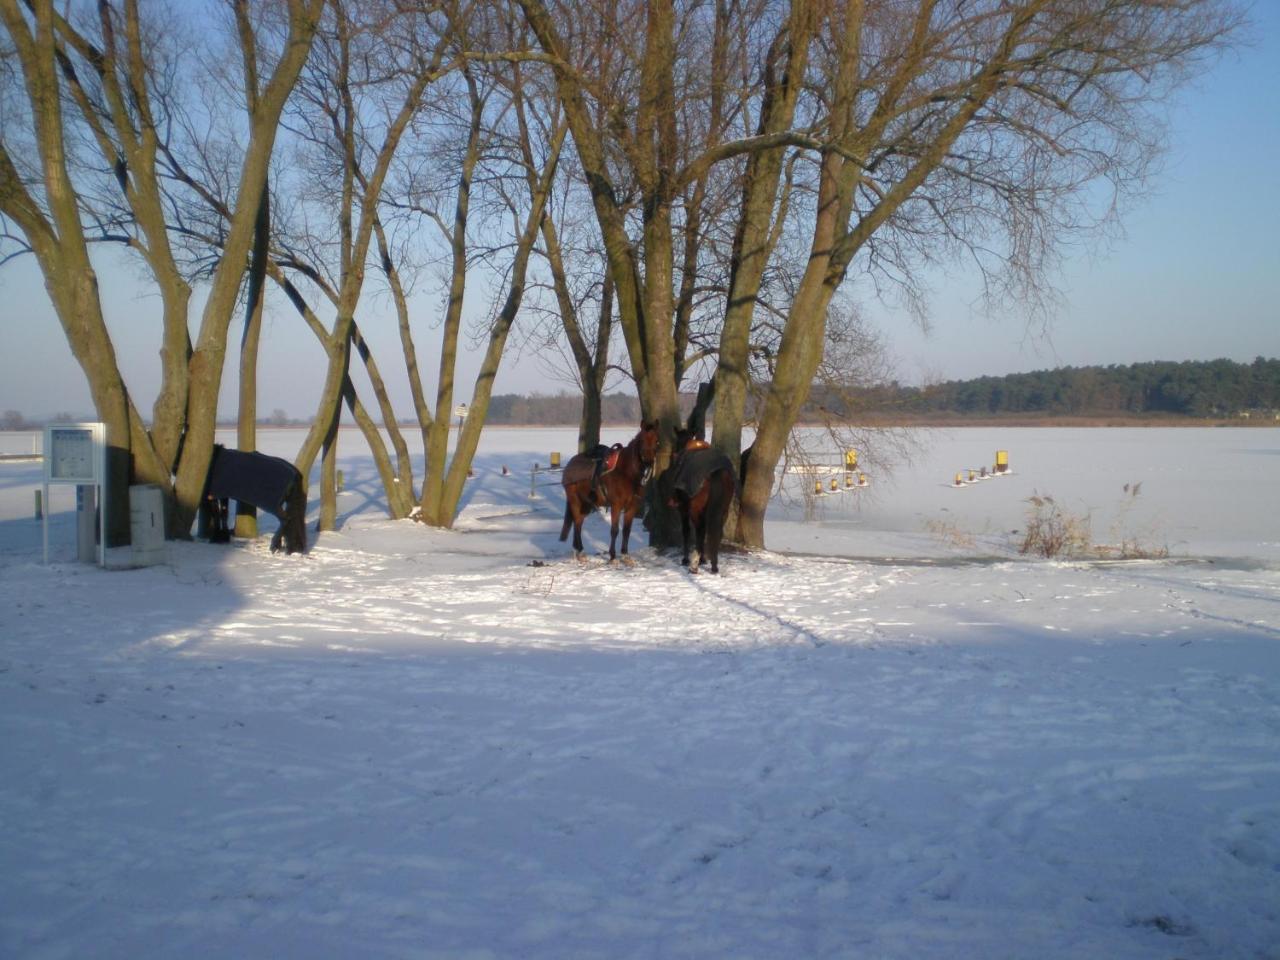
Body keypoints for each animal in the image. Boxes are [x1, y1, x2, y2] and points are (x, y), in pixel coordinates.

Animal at [560, 422, 660, 563]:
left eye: (657, 441)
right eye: (642, 440)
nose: (648, 462)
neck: (626, 473)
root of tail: (569, 465)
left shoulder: (632, 507)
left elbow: (626, 531)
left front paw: (625, 555)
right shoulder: (616, 506)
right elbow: (615, 530)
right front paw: (613, 557)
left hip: (586, 504)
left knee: (578, 522)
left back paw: (578, 552)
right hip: (575, 501)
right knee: (577, 523)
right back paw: (581, 551)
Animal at [665, 435, 737, 576]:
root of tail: (716, 472)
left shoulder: (684, 510)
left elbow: (687, 531)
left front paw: (686, 559)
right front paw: (703, 559)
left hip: (695, 511)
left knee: (699, 531)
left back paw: (694, 565)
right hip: (722, 510)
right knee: (715, 532)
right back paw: (714, 566)